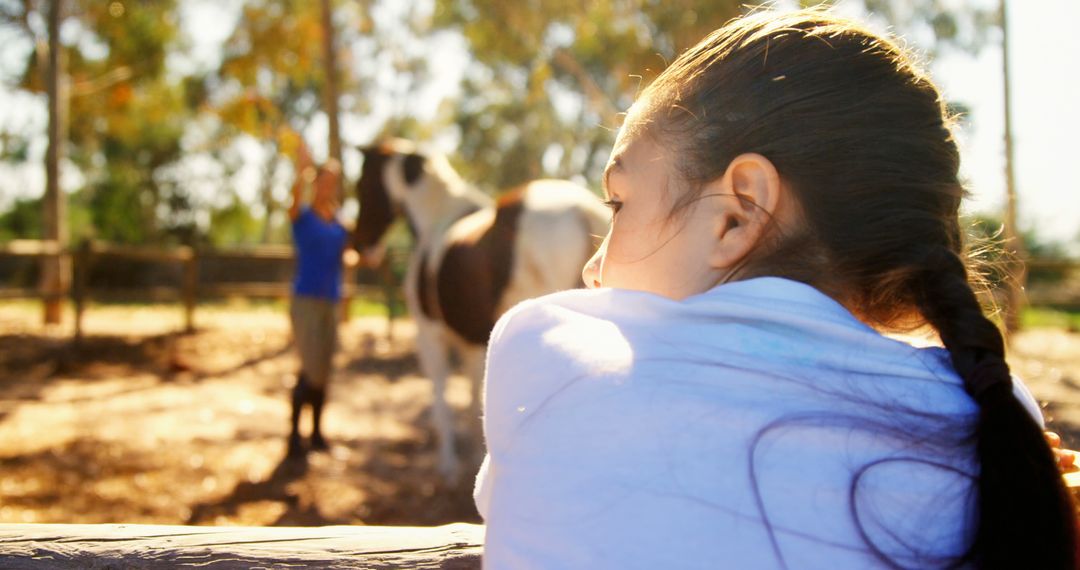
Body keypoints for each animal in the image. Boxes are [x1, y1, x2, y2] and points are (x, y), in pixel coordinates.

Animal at [354, 139, 609, 481]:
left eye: (361, 185)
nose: (360, 245)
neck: (436, 219)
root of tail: (582, 212)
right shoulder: (474, 341)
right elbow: (476, 395)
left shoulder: (430, 335)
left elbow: (443, 397)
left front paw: (448, 465)